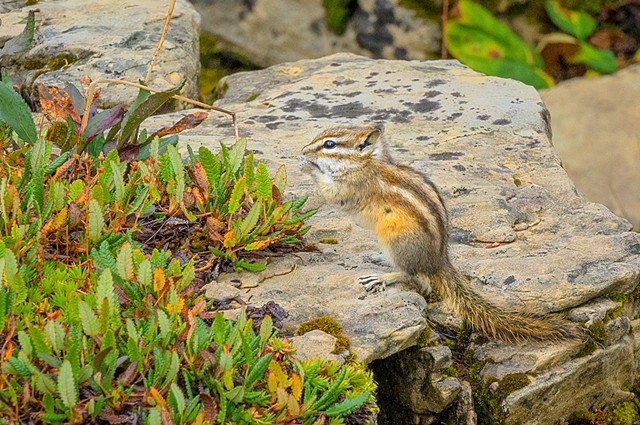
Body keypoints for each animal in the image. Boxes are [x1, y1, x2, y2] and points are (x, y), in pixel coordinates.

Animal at [300, 125, 578, 343]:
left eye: (329, 144)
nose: (303, 150)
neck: (369, 162)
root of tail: (439, 261)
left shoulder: (353, 186)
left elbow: (332, 192)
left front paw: (309, 167)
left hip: (396, 241)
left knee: (413, 276)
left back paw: (383, 276)